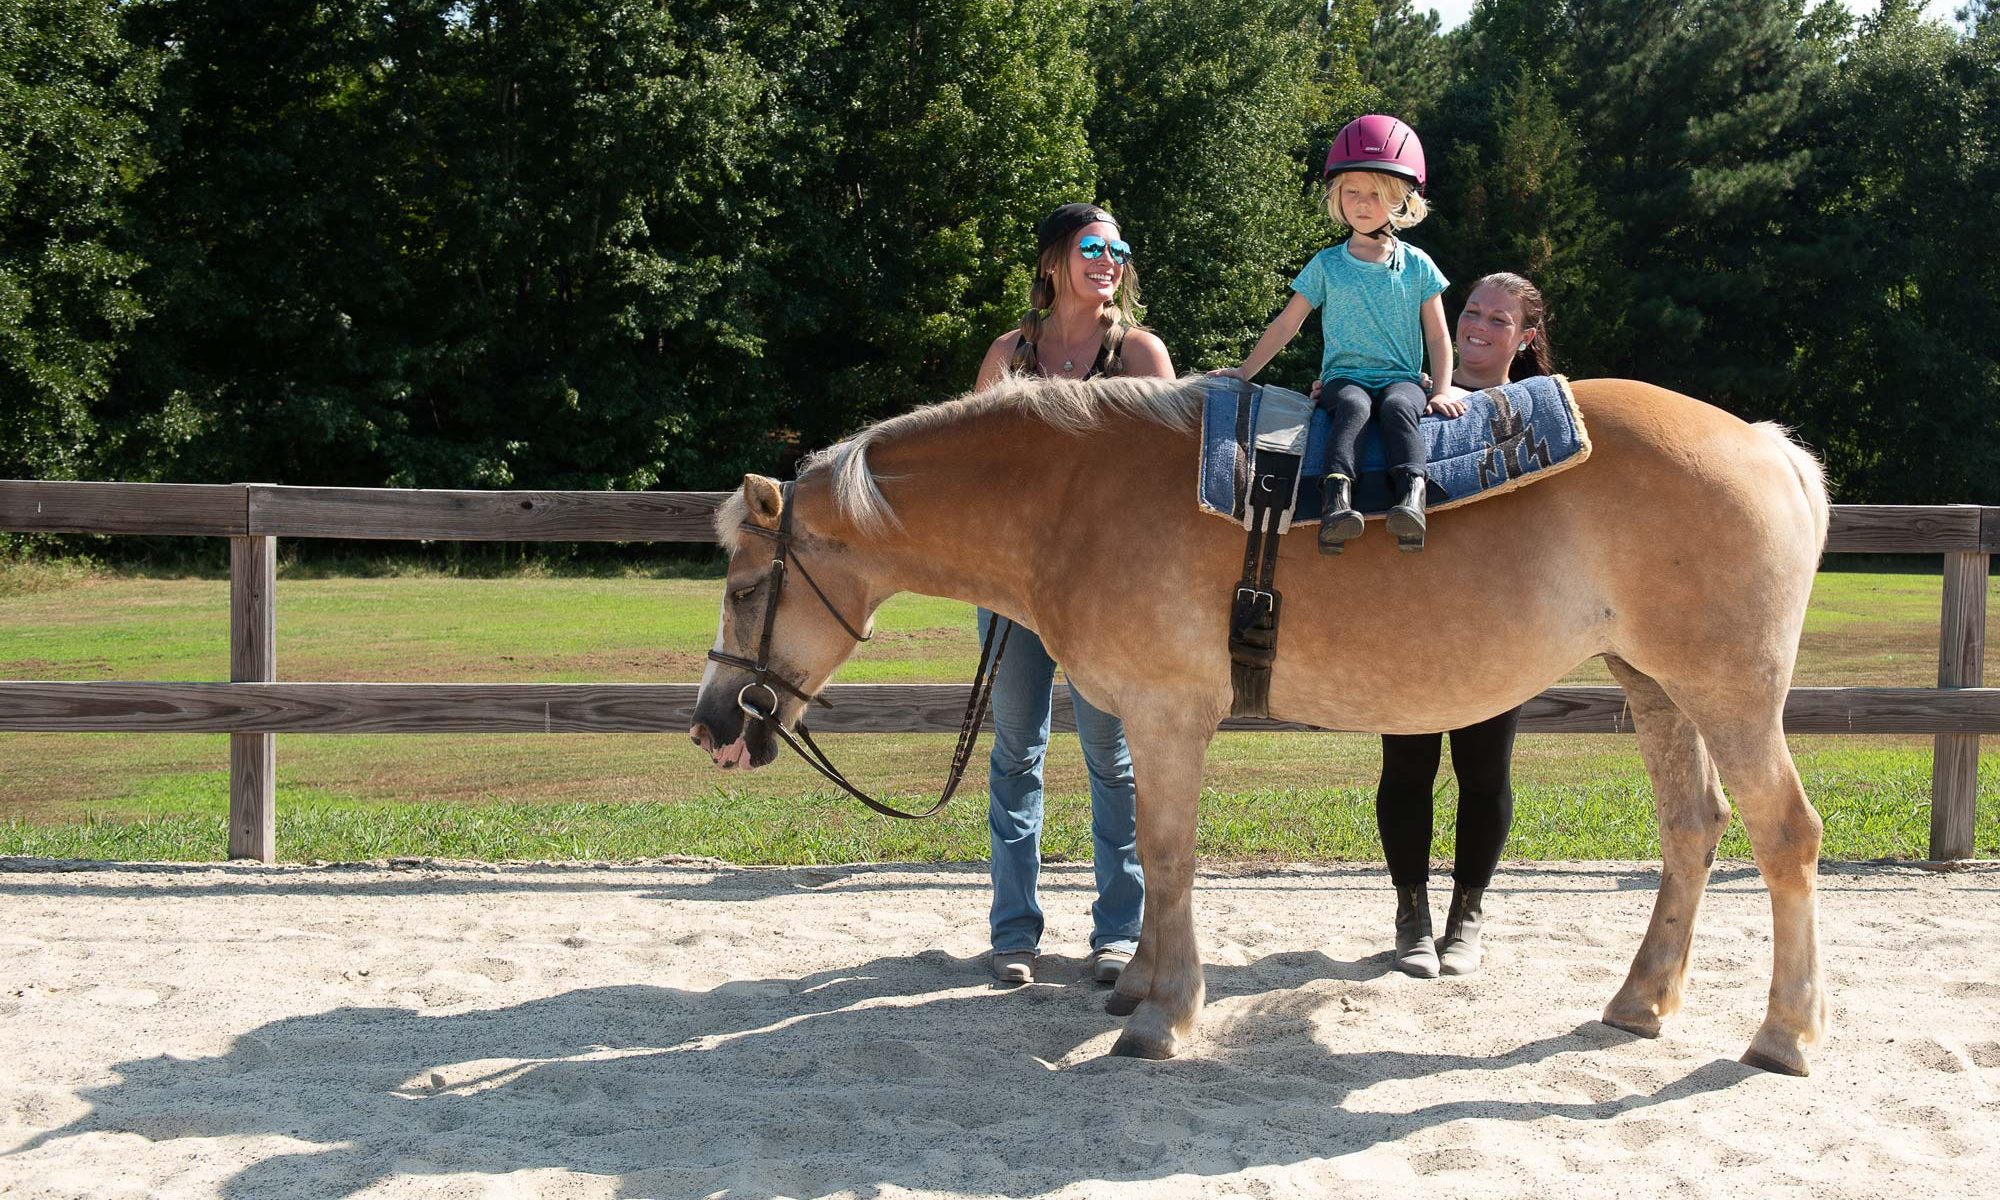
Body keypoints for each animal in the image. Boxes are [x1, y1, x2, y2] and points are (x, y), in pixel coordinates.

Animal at [696, 376, 1832, 1080]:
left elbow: (1166, 855)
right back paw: (1640, 1003)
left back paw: (1783, 1036)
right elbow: (1148, 853)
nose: (714, 725)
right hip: (1654, 685)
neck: (1072, 499)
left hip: (1726, 691)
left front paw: (1163, 1016)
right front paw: (1137, 988)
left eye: (747, 588)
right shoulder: (1144, 722)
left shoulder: (1167, 715)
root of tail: (1765, 448)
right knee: (1691, 832)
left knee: (1785, 836)